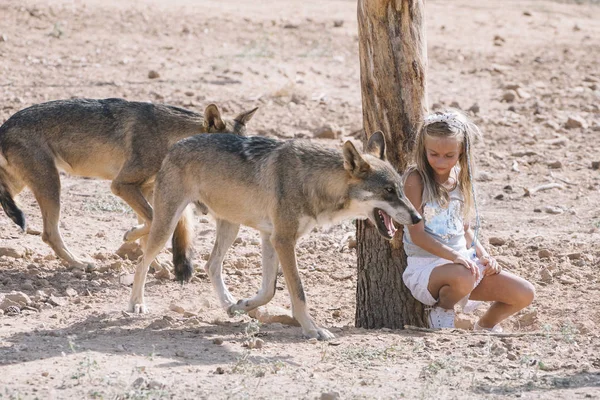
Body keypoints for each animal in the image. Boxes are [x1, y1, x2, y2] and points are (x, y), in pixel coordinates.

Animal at [0, 98, 255, 270]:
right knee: (49, 234)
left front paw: (154, 263)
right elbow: (152, 222)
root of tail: (4, 127)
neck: (170, 136)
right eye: (230, 149)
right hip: (51, 185)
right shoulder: (122, 185)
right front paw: (131, 236)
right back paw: (80, 264)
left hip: (24, 185)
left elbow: (149, 229)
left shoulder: (145, 189)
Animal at [130, 131, 422, 340]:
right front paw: (312, 329)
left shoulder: (270, 237)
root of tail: (176, 145)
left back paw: (228, 303)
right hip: (168, 225)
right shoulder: (283, 240)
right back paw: (136, 304)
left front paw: (242, 304)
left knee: (211, 264)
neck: (313, 181)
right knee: (143, 260)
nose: (418, 217)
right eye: (388, 191)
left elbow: (269, 290)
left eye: (401, 189)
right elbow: (299, 292)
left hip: (231, 227)